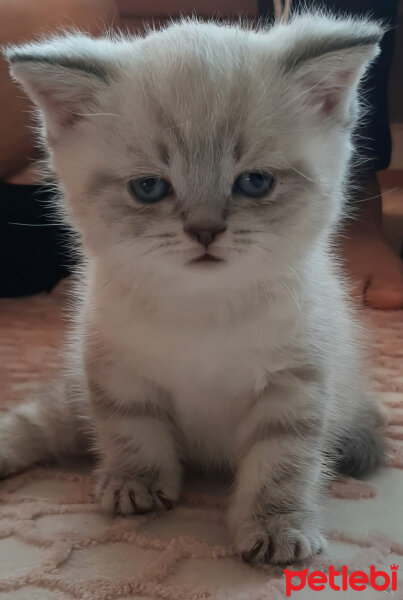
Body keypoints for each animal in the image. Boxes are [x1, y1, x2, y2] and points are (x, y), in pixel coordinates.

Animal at [0, 15, 386, 568]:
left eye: (254, 182)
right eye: (148, 188)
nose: (205, 230)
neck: (202, 308)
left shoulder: (295, 383)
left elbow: (282, 463)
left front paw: (277, 526)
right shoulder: (116, 369)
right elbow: (131, 432)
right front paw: (134, 484)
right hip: (77, 389)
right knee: (46, 422)